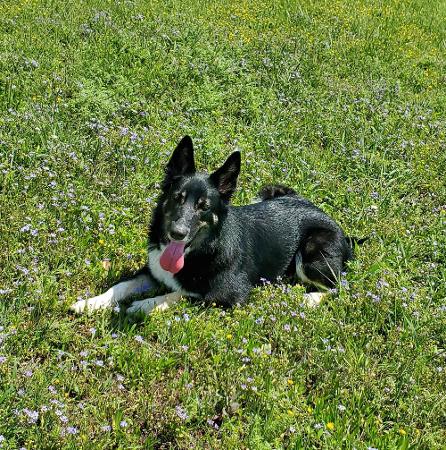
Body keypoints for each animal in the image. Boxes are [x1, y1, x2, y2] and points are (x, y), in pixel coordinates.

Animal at [71, 135, 360, 314]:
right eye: (177, 198)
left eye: (204, 207)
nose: (177, 233)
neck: (204, 249)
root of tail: (343, 232)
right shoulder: (152, 271)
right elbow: (120, 286)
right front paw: (90, 303)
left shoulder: (230, 295)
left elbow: (182, 294)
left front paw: (144, 305)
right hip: (270, 190)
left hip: (311, 257)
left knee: (339, 288)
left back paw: (310, 298)